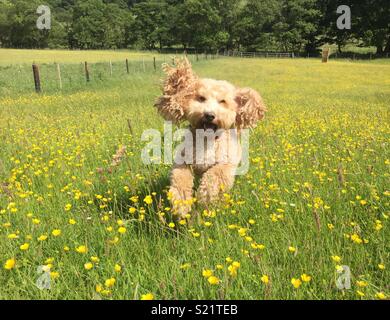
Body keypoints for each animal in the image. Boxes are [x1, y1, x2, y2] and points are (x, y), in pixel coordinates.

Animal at [155, 58, 266, 218]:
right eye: (201, 98)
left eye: (222, 101)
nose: (209, 115)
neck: (207, 140)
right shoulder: (183, 161)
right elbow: (180, 179)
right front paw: (181, 203)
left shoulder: (225, 163)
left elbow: (214, 175)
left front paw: (206, 197)